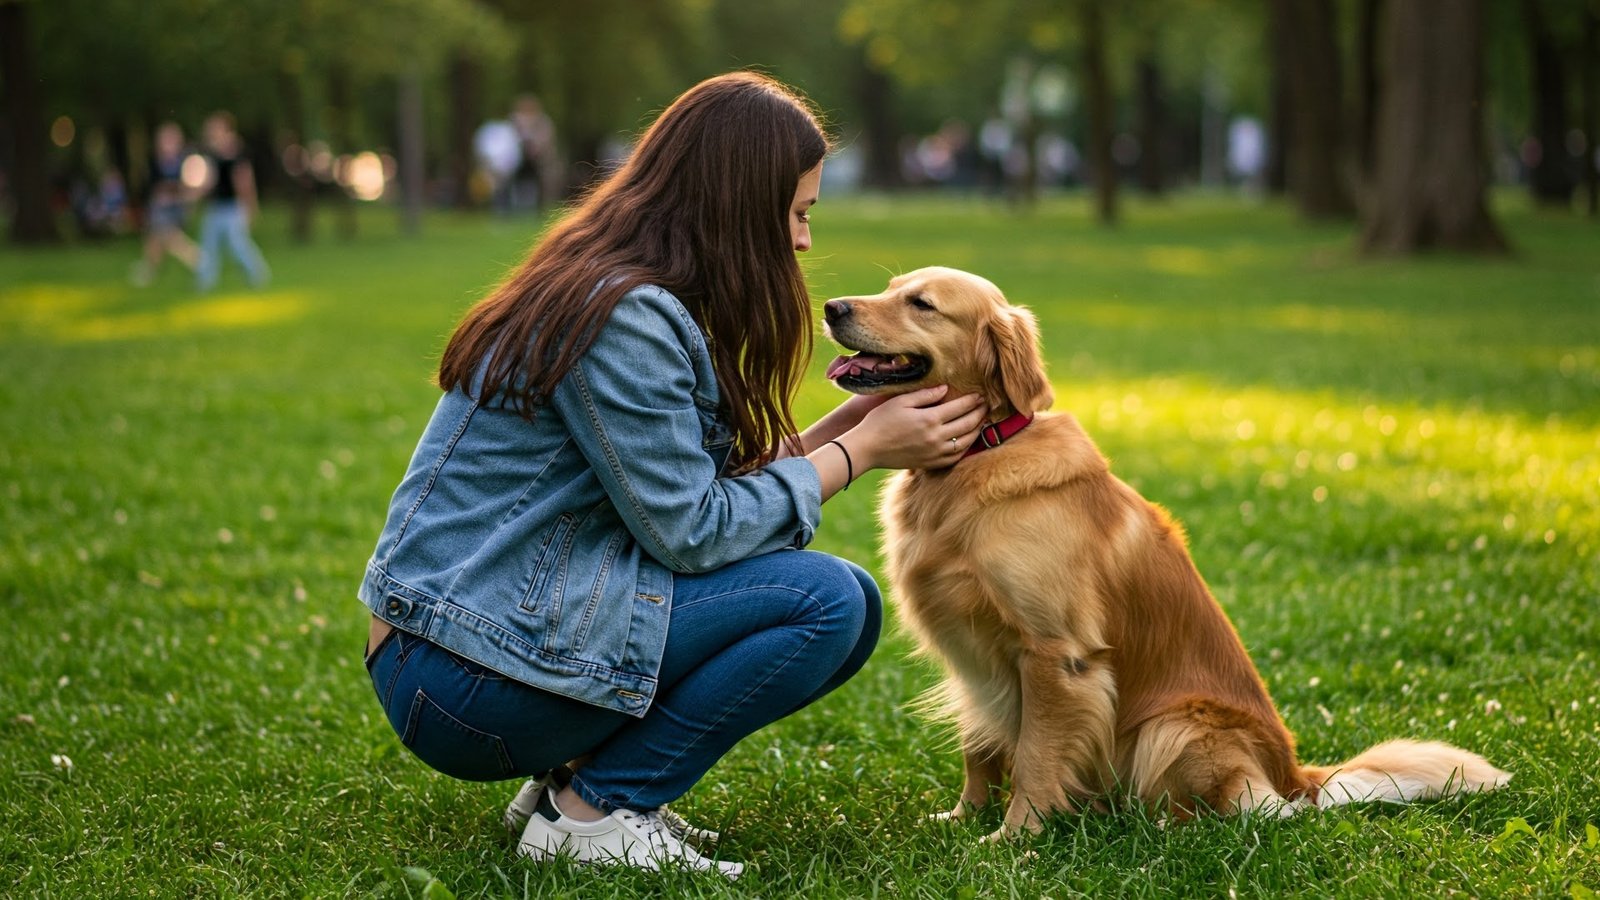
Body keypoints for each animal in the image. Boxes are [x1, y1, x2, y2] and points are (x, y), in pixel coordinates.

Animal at [825, 264, 1510, 832]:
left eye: (922, 304)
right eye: (889, 287)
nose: (831, 306)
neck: (978, 454)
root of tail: (1297, 778)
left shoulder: (1055, 655)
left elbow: (1036, 760)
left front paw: (1011, 840)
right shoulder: (973, 654)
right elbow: (980, 747)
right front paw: (963, 820)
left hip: (1172, 726)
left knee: (1245, 811)